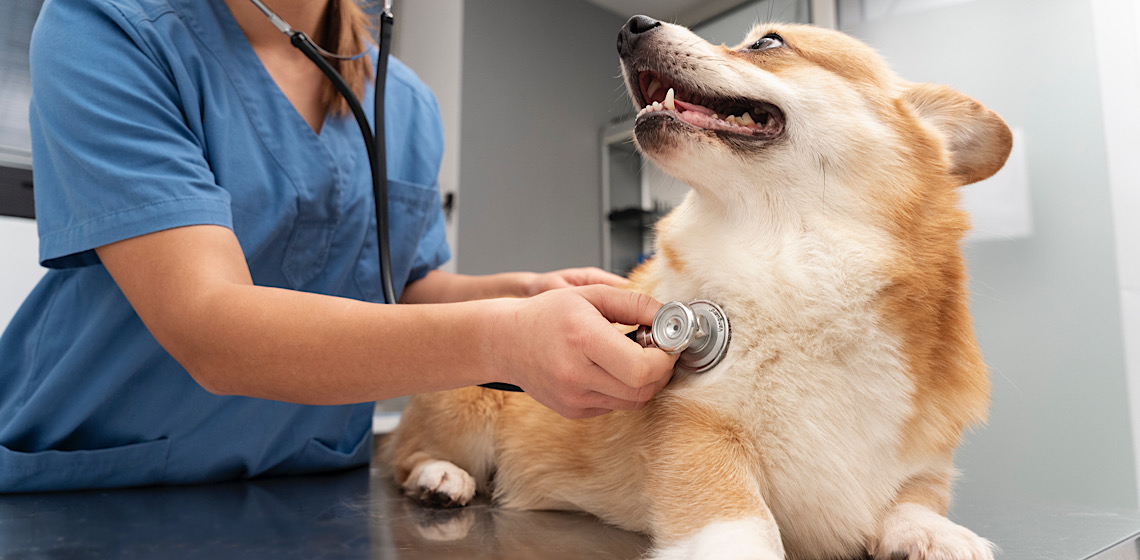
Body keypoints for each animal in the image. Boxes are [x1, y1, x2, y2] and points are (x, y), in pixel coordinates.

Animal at [385, 15, 1016, 558]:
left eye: (768, 43)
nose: (629, 26)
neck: (801, 269)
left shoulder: (927, 461)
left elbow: (915, 497)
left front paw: (936, 534)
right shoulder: (696, 424)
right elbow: (738, 514)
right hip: (466, 400)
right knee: (403, 457)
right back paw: (442, 477)